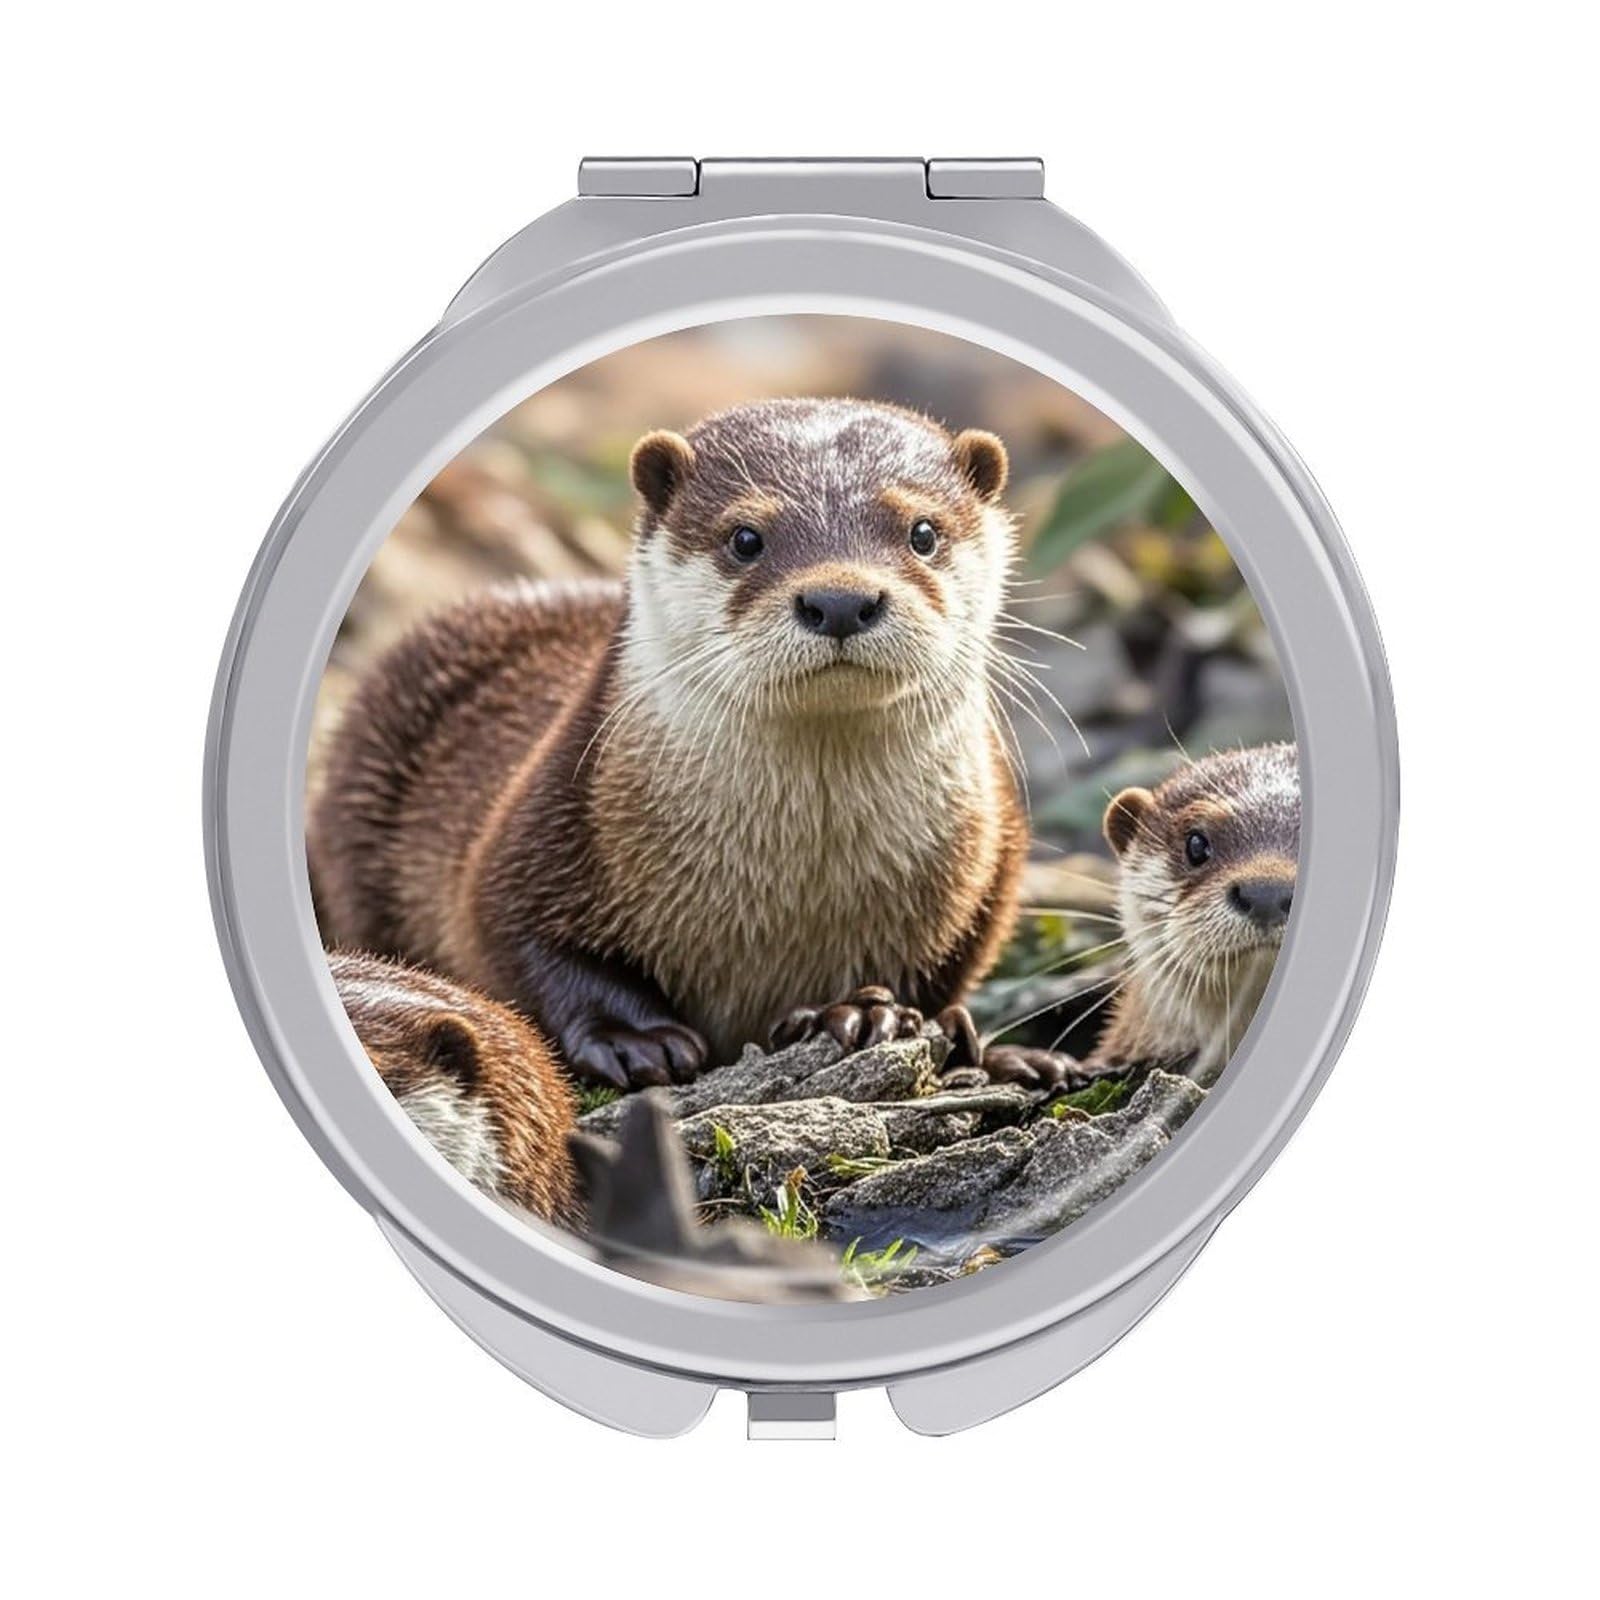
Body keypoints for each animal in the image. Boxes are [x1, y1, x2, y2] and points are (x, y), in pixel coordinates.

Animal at [311, 398, 1048, 1089]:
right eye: (746, 537)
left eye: (923, 532)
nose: (840, 599)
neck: (792, 890)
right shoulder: (540, 825)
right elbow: (517, 939)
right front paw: (634, 1038)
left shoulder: (989, 863)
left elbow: (945, 971)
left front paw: (869, 1011)